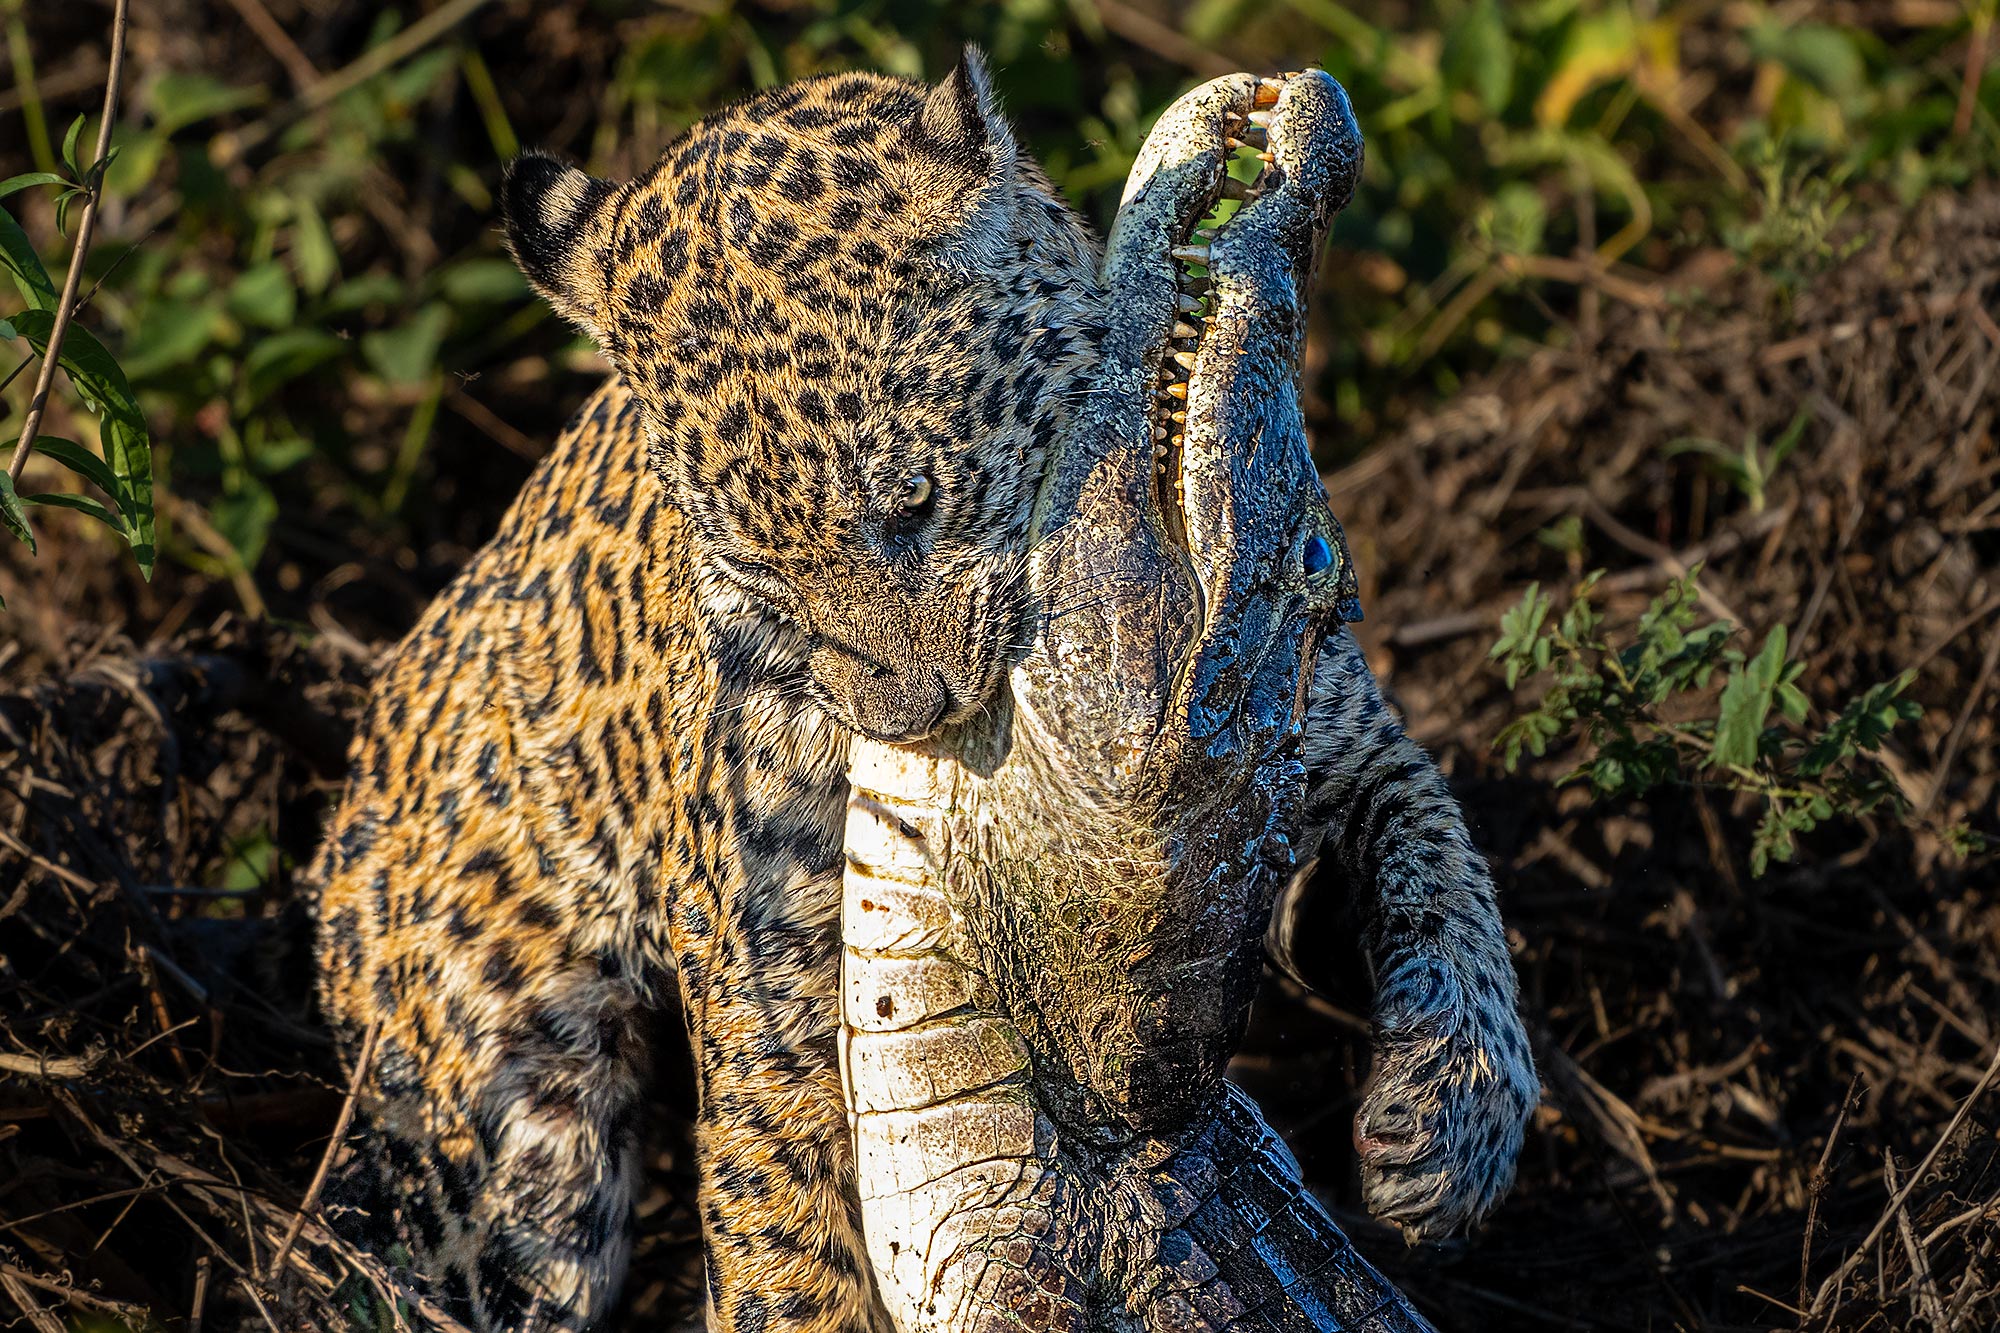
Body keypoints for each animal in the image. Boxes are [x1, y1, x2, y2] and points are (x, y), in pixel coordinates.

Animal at [312, 48, 1539, 1333]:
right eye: (755, 569)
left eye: (911, 502)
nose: (908, 714)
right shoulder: (773, 984)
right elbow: (784, 1236)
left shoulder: (1333, 723)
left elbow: (1443, 857)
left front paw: (1450, 1124)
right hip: (511, 1137)